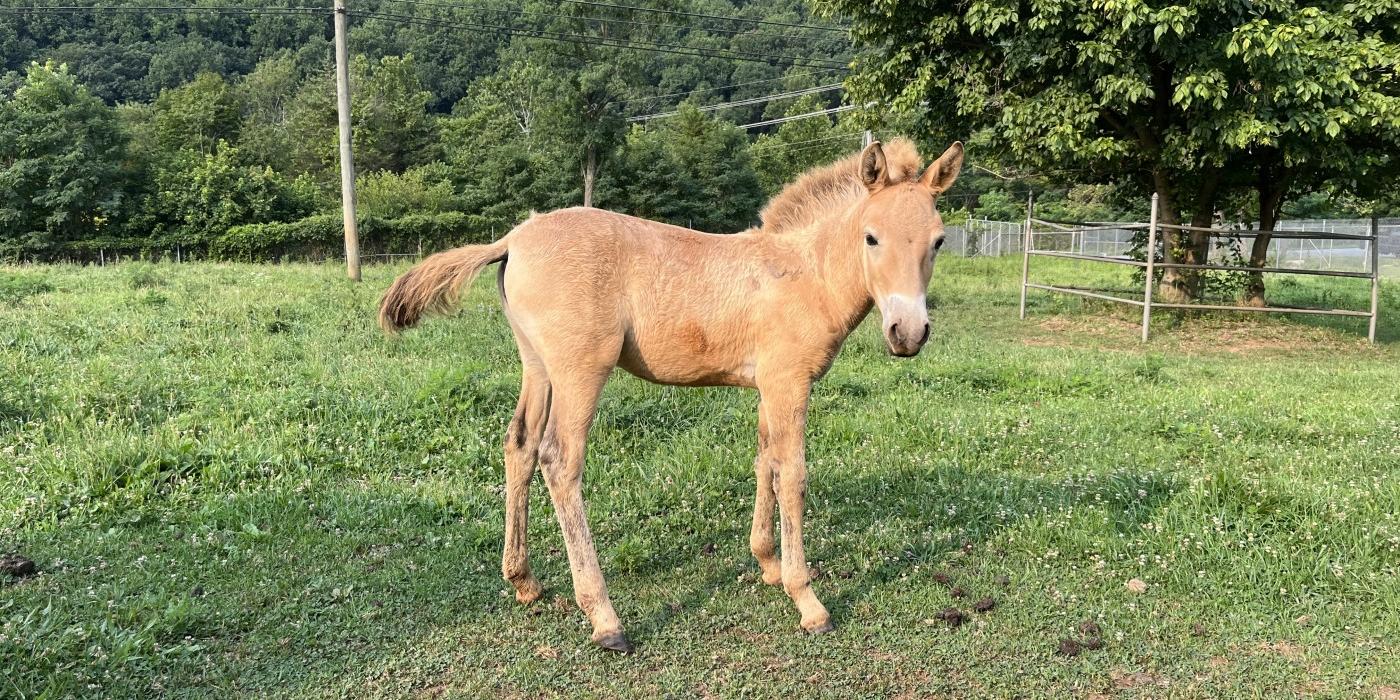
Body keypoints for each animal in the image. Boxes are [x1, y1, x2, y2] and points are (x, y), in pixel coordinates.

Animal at [378, 139, 957, 652]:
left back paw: (524, 581)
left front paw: (767, 563)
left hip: (537, 367)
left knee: (518, 445)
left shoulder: (766, 388)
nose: (908, 333)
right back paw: (605, 618)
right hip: (580, 372)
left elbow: (764, 461)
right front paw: (808, 602)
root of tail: (514, 239)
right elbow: (792, 474)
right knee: (559, 460)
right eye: (871, 237)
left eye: (938, 241)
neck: (802, 274)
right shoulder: (789, 383)